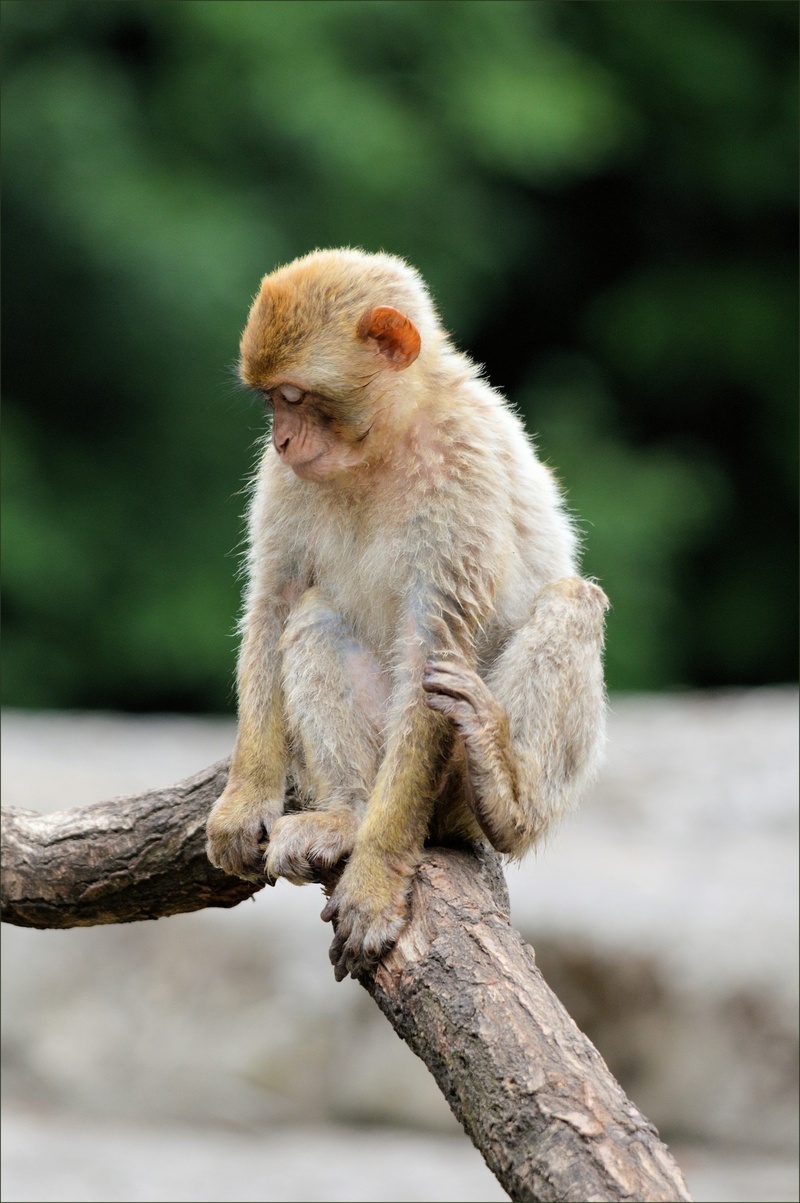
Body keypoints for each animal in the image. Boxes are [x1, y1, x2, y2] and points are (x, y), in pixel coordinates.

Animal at [206, 247, 608, 981]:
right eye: (272, 400)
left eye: (295, 398)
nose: (280, 440)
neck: (383, 441)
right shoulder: (284, 482)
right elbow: (276, 600)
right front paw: (247, 796)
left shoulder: (462, 466)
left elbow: (432, 645)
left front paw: (376, 877)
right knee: (315, 615)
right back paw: (347, 813)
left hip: (454, 795)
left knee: (571, 603)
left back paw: (504, 801)